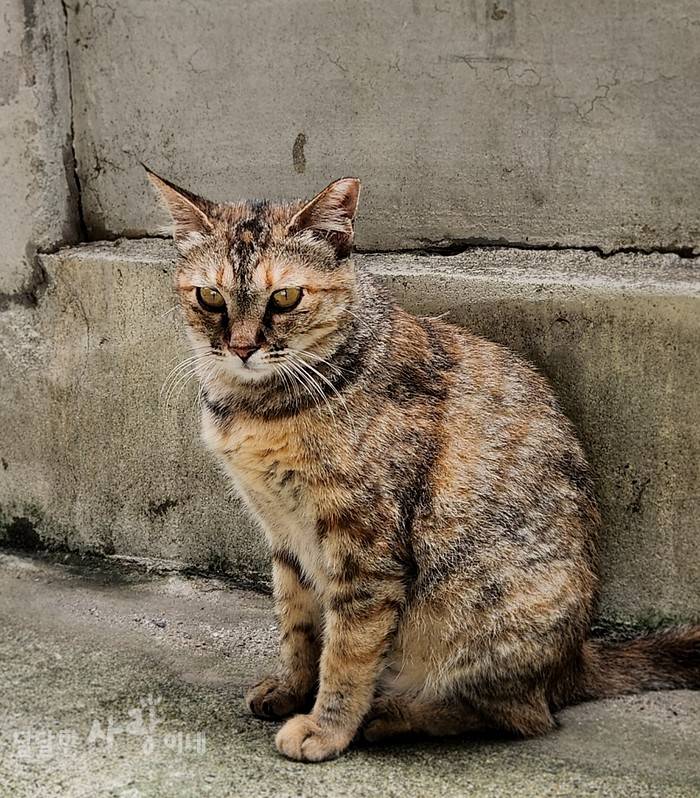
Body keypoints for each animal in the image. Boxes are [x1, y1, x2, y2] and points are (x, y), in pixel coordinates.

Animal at [145, 167, 696, 764]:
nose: (242, 347)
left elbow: (346, 652)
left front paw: (325, 727)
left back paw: (391, 717)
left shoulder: (365, 548)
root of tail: (574, 659)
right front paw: (292, 689)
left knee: (516, 715)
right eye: (210, 296)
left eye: (285, 297)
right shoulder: (284, 535)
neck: (260, 406)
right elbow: (297, 626)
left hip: (479, 610)